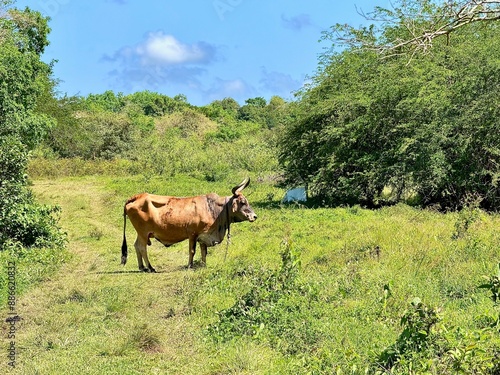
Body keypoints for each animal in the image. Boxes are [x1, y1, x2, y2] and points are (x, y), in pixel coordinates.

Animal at [119, 178, 256, 270]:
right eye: (242, 202)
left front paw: (204, 264)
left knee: (136, 246)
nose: (254, 216)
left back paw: (142, 267)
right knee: (142, 247)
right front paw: (190, 265)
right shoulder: (192, 234)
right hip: (143, 233)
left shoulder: (203, 236)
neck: (212, 208)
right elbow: (192, 251)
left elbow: (204, 251)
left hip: (141, 233)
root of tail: (137, 197)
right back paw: (150, 267)